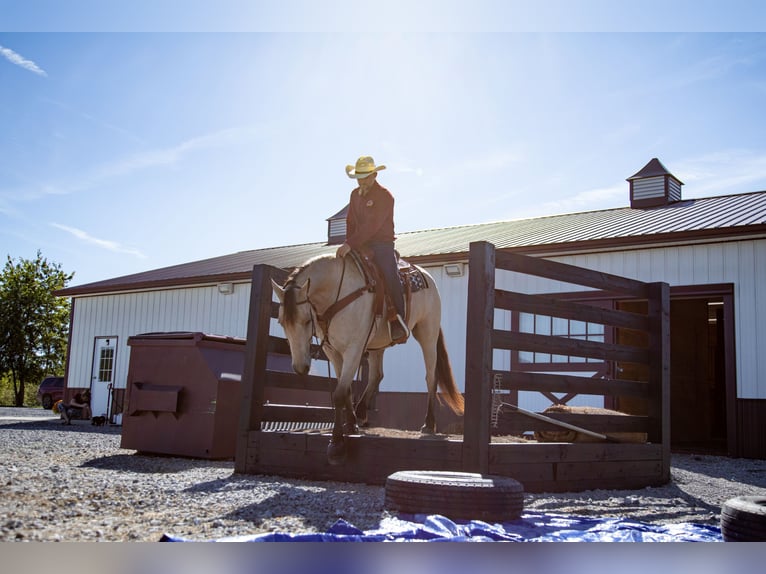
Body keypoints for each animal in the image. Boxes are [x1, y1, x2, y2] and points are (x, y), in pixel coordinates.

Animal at [271, 253, 464, 464]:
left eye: (306, 321)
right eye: (281, 322)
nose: (300, 368)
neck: (338, 294)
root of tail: (426, 276)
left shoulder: (354, 348)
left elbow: (339, 394)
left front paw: (336, 445)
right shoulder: (333, 351)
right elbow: (346, 389)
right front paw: (351, 424)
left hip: (427, 333)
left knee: (430, 377)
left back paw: (429, 423)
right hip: (377, 345)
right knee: (376, 375)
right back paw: (362, 411)